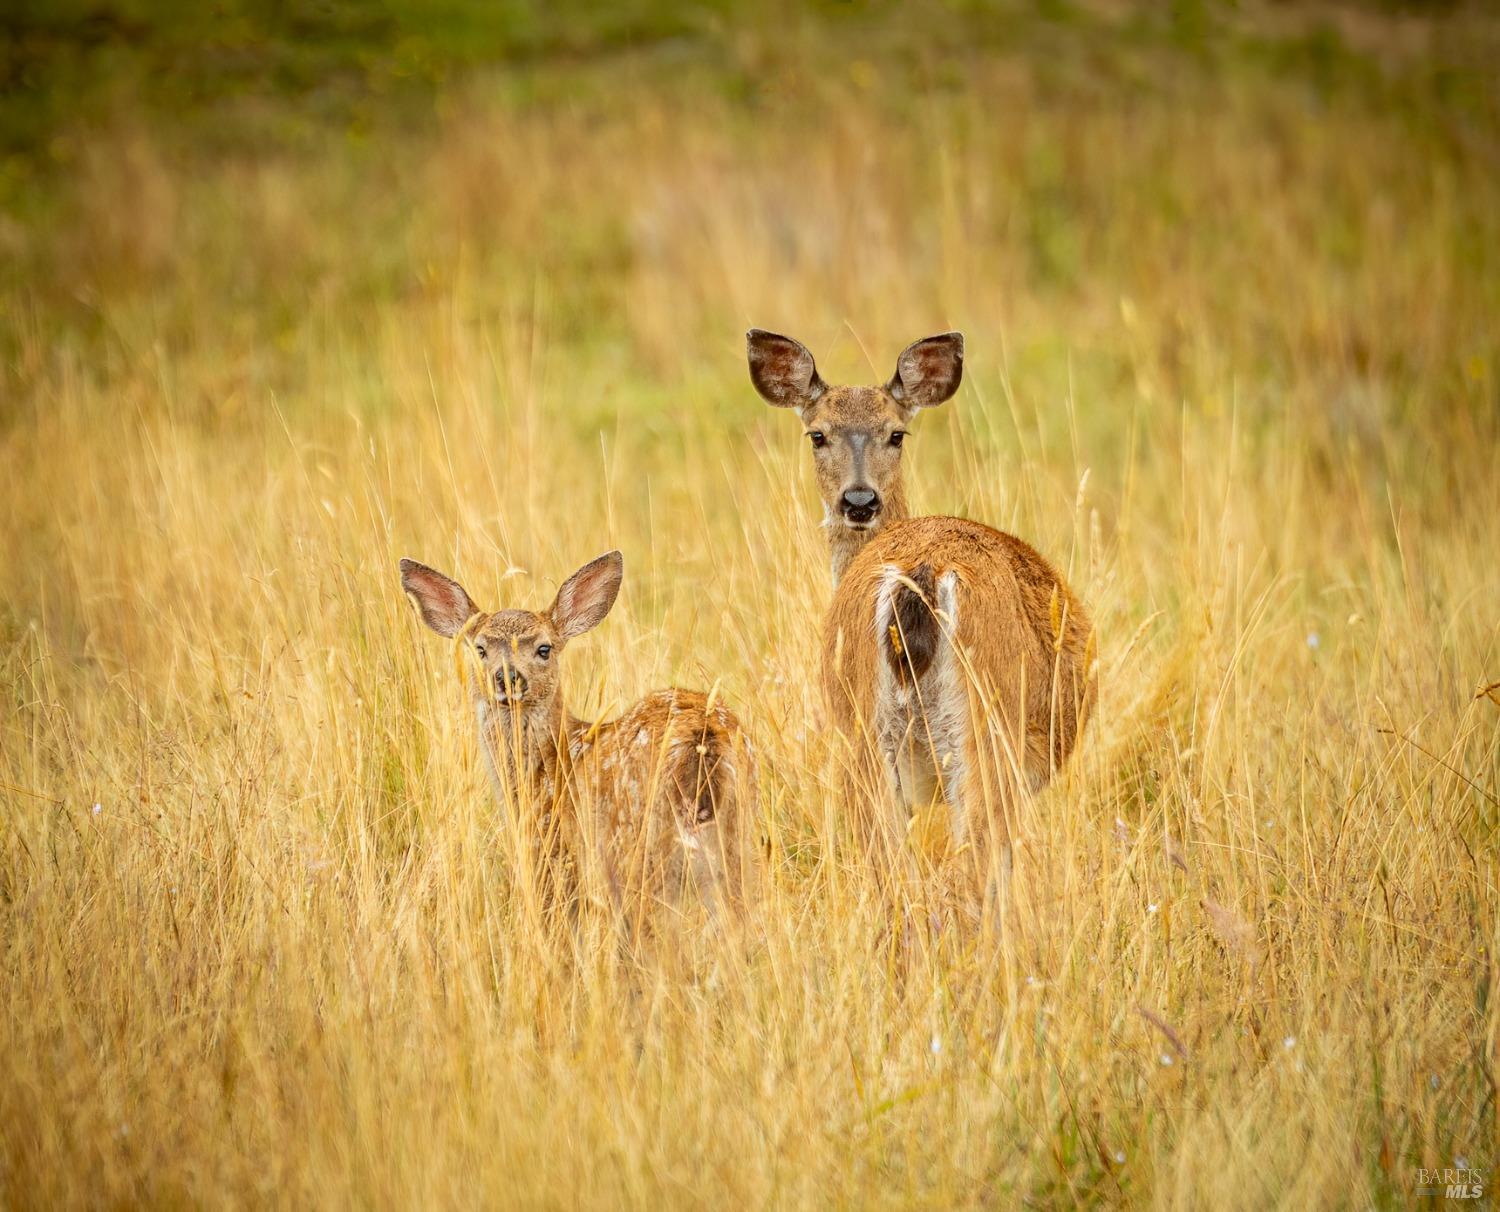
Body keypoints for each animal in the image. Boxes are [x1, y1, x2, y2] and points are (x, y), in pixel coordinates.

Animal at [402, 555, 756, 924]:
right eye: (480, 649)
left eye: (544, 648)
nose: (507, 677)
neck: (546, 763)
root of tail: (703, 740)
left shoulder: (550, 852)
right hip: (740, 837)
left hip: (634, 848)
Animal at [747, 327, 1092, 894]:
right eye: (817, 435)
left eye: (896, 434)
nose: (859, 501)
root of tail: (922, 572)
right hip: (988, 724)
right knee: (973, 864)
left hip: (860, 726)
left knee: (890, 863)